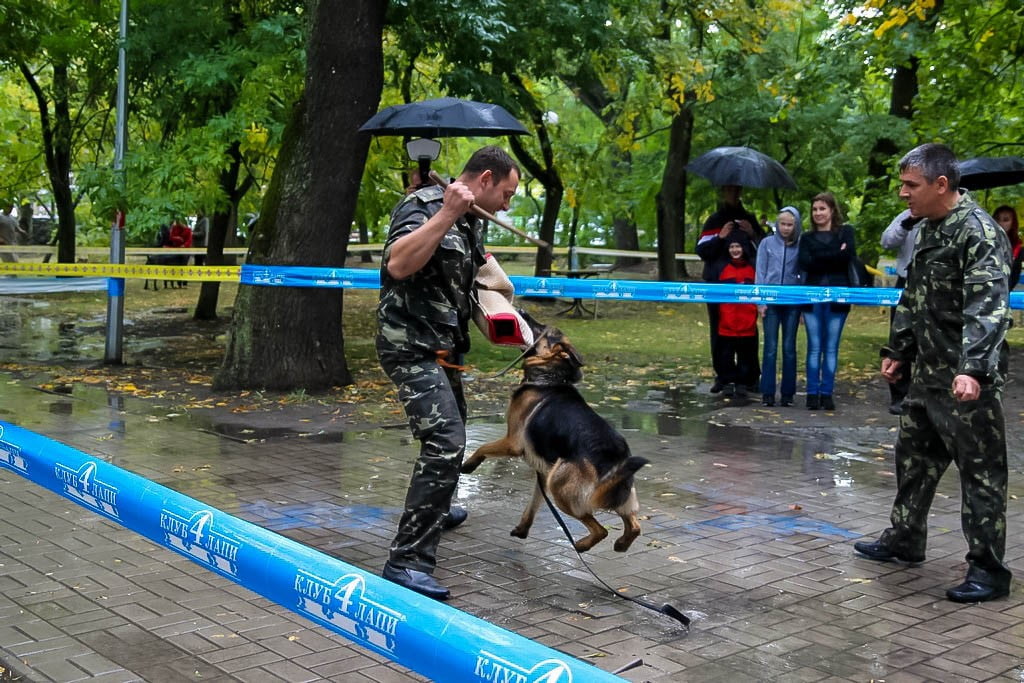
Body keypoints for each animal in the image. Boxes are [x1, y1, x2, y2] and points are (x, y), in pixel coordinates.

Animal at [464, 317, 647, 552]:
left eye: (541, 330)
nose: (522, 312)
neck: (551, 378)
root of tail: (612, 456)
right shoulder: (543, 472)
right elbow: (534, 502)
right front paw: (523, 529)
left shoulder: (512, 442)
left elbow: (482, 447)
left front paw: (468, 465)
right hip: (616, 495)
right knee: (634, 526)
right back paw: (621, 544)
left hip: (560, 488)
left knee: (600, 529)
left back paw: (582, 545)